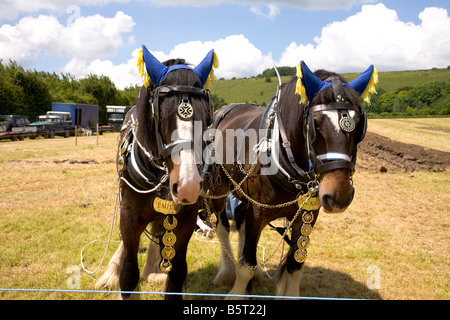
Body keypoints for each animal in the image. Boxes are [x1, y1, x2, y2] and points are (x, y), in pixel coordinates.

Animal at [95, 45, 216, 300]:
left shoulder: (186, 219)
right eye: (161, 115)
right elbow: (128, 274)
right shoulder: (129, 217)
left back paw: (154, 271)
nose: (188, 185)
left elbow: (178, 272)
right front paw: (118, 274)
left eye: (206, 116)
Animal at [211, 60, 376, 298]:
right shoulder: (258, 212)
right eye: (315, 123)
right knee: (223, 227)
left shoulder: (307, 215)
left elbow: (295, 265)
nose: (339, 196)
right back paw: (226, 271)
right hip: (218, 190)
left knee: (240, 222)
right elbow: (246, 266)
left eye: (360, 125)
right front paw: (237, 292)